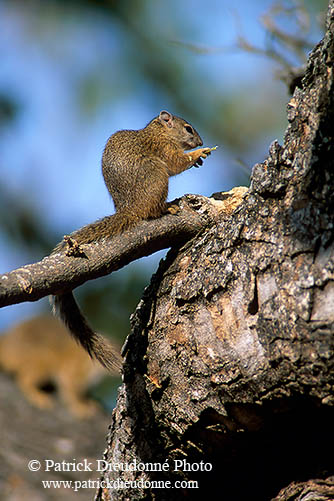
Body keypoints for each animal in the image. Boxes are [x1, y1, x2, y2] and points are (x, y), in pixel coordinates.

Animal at [51, 111, 215, 370]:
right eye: (188, 128)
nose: (199, 142)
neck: (159, 132)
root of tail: (130, 209)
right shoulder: (164, 148)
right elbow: (176, 164)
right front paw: (198, 154)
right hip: (155, 174)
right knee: (152, 209)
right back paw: (167, 208)